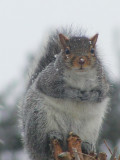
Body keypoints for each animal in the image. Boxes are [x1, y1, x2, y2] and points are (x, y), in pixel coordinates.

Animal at [20, 27, 109, 160]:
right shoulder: (49, 79)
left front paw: (89, 95)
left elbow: (101, 94)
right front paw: (73, 93)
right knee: (42, 145)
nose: (81, 60)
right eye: (67, 51)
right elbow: (55, 89)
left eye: (92, 50)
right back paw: (53, 135)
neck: (80, 76)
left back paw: (86, 145)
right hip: (39, 118)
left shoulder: (102, 82)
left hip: (91, 126)